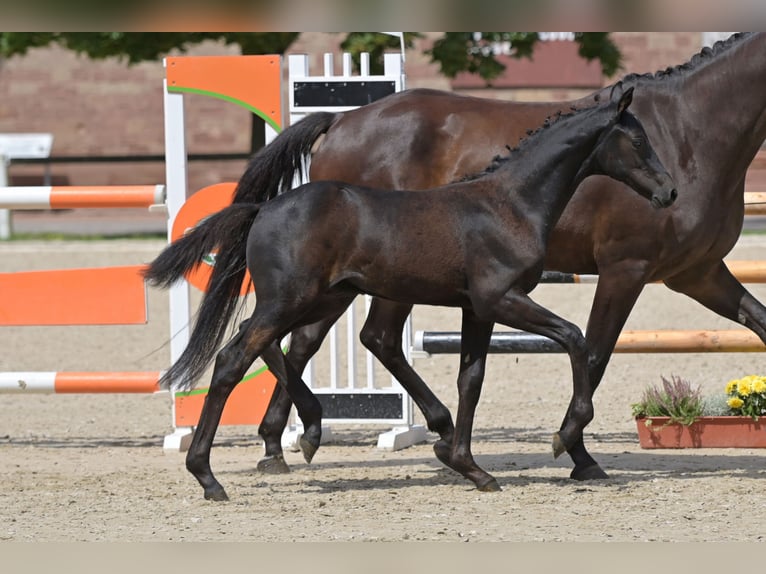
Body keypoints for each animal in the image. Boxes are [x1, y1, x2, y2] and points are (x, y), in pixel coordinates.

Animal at [146, 83, 677, 500]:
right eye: (637, 139)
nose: (669, 192)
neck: (509, 203)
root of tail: (264, 208)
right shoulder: (502, 298)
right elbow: (575, 338)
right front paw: (564, 438)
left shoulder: (477, 309)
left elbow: (472, 379)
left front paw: (468, 465)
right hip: (293, 299)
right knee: (234, 358)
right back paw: (209, 476)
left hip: (317, 297)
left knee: (269, 344)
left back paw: (310, 429)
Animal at [230, 31, 764, 482]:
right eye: (637, 141)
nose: (667, 192)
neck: (689, 131)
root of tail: (341, 120)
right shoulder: (624, 270)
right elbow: (592, 355)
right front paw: (575, 450)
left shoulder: (697, 273)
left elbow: (758, 323)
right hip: (367, 281)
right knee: (350, 338)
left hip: (351, 282)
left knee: (314, 340)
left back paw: (286, 443)